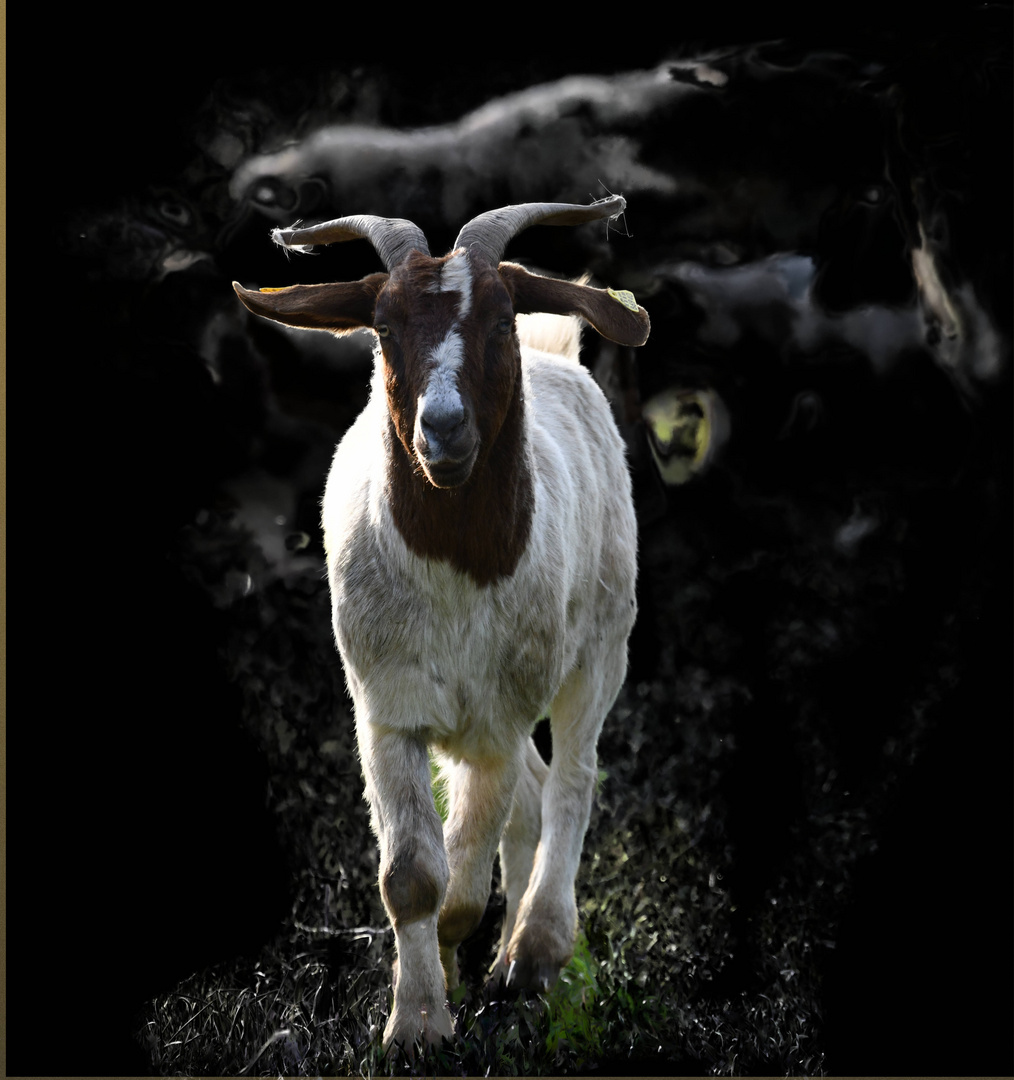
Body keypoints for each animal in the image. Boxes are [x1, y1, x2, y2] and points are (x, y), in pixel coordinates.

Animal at [233, 196, 649, 1051]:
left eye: (498, 318)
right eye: (384, 327)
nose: (444, 429)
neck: (458, 574)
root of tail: (558, 354)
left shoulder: (495, 719)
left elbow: (461, 875)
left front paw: (453, 985)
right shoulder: (387, 709)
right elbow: (414, 877)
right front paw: (419, 1018)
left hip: (603, 641)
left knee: (569, 781)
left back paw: (536, 950)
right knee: (534, 792)